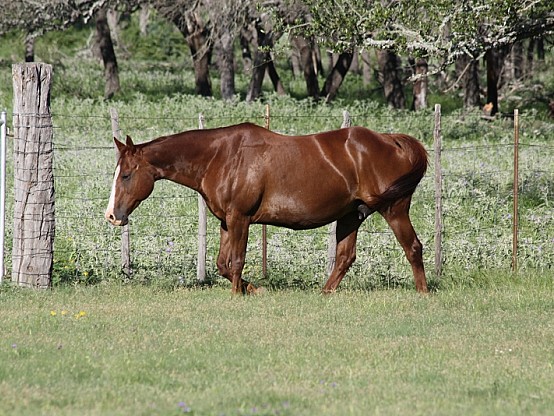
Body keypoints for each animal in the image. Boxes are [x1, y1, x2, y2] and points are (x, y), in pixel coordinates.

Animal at [105, 122, 430, 294]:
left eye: (126, 174)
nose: (112, 216)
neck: (221, 157)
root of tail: (391, 141)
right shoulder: (226, 221)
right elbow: (223, 264)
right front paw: (252, 289)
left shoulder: (241, 218)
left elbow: (236, 262)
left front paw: (237, 295)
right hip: (351, 215)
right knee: (345, 257)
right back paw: (325, 293)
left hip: (394, 210)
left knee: (413, 247)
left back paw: (423, 292)